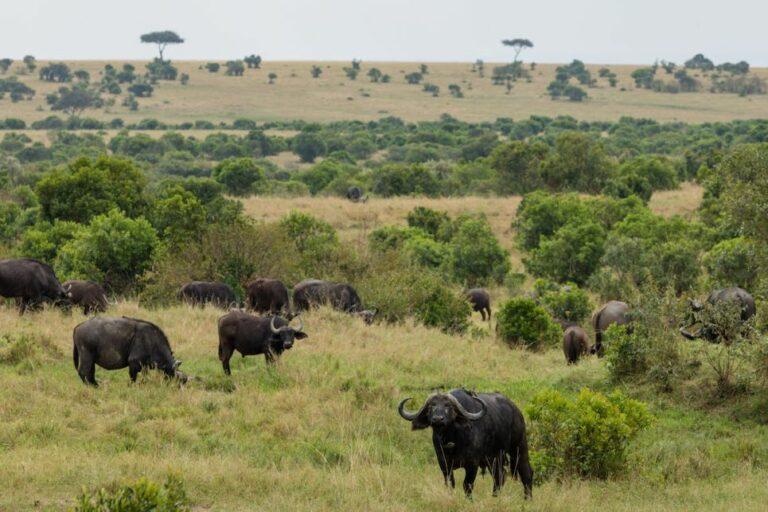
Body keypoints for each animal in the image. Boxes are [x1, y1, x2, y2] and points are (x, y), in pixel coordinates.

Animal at [398, 389, 533, 499]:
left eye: (448, 406)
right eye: (432, 406)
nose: (438, 419)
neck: (452, 441)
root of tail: (516, 411)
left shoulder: (472, 464)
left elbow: (467, 485)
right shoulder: (444, 464)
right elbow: (450, 483)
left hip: (519, 447)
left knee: (526, 472)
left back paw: (528, 499)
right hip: (494, 458)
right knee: (500, 475)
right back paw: (495, 496)